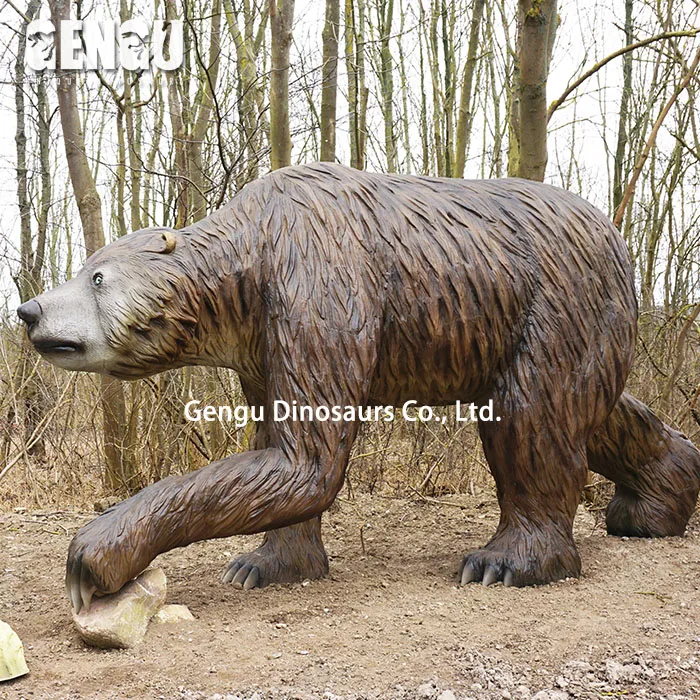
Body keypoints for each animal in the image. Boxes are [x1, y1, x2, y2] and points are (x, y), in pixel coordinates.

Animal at [17, 162, 700, 613]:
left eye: (97, 277)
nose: (29, 310)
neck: (250, 265)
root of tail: (614, 233)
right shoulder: (262, 342)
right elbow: (278, 446)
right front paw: (264, 564)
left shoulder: (318, 280)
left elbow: (308, 460)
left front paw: (94, 555)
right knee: (589, 411)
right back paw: (657, 501)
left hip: (552, 301)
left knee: (531, 418)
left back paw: (505, 561)